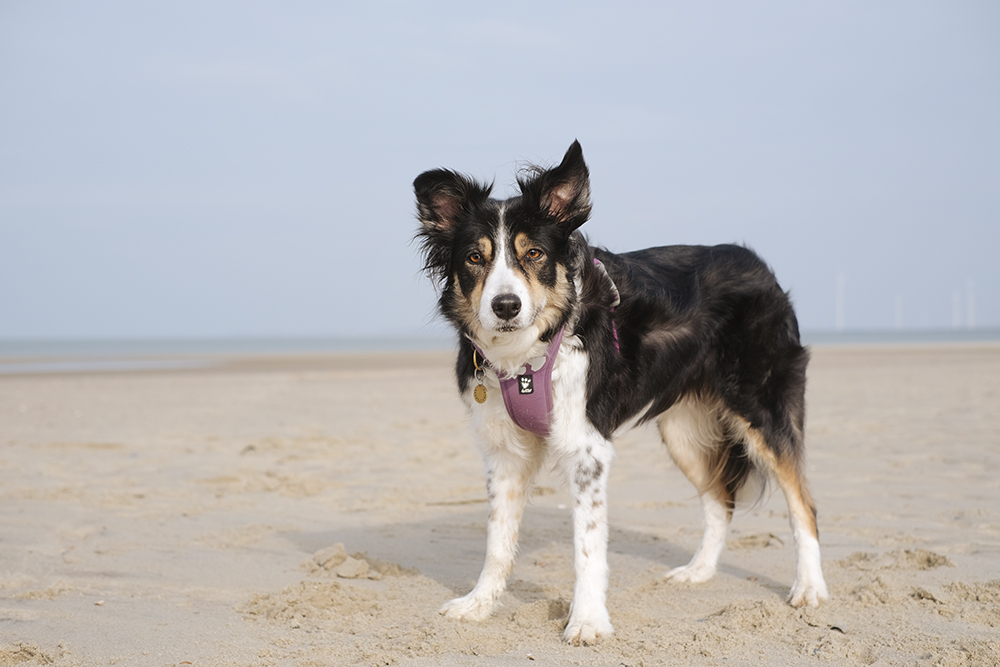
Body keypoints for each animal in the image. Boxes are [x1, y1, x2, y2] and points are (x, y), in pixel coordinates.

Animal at [412, 142, 828, 648]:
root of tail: (759, 265)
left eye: (534, 253)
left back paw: (810, 587)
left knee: (802, 502)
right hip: (683, 430)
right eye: (475, 258)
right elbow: (497, 540)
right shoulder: (503, 452)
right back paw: (699, 571)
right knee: (719, 500)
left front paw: (587, 621)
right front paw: (479, 604)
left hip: (762, 409)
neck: (529, 354)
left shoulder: (587, 449)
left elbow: (588, 547)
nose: (505, 306)